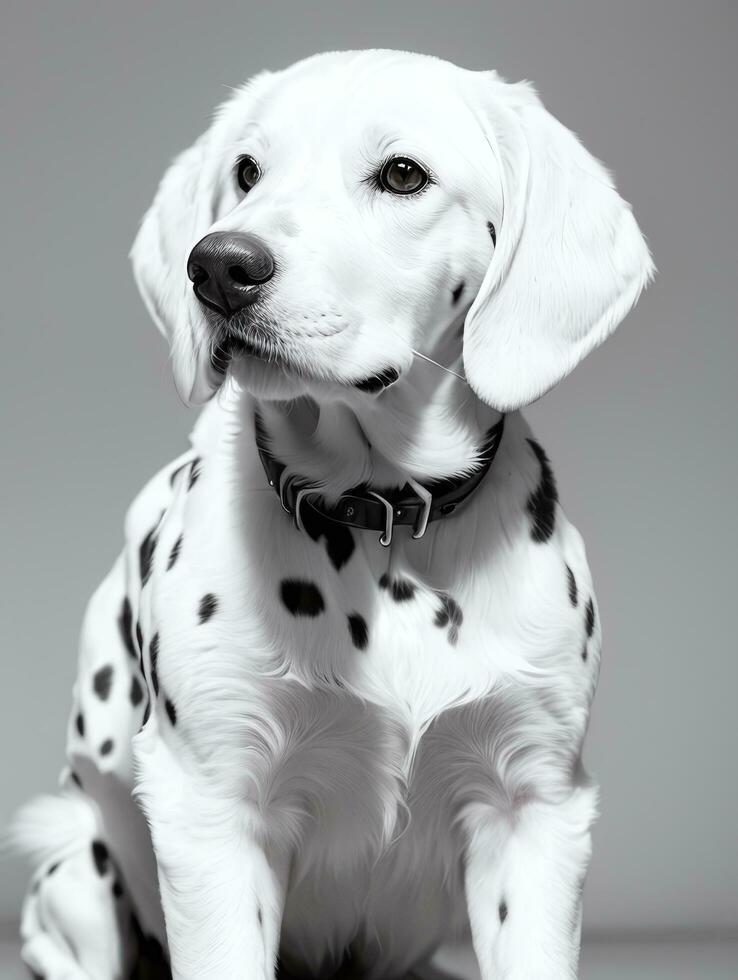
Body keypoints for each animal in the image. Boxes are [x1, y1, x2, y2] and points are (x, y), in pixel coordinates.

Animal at [11, 47, 652, 980]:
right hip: (79, 875)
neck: (380, 517)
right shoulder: (212, 808)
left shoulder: (532, 807)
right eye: (247, 171)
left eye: (402, 174)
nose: (219, 266)